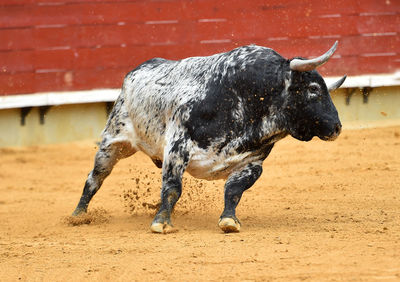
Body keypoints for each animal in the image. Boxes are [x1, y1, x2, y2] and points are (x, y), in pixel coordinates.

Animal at [72, 40, 346, 234]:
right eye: (313, 89)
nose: (336, 127)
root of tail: (134, 73)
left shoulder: (252, 161)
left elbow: (234, 189)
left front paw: (229, 220)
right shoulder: (177, 147)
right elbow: (172, 188)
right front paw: (162, 222)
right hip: (113, 142)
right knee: (95, 178)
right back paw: (78, 215)